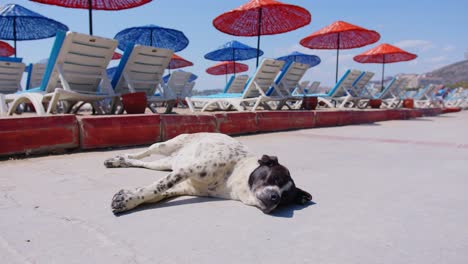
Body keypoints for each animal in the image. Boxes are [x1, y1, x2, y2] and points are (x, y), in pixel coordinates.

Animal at [104, 132, 312, 214]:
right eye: (275, 178)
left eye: (285, 198)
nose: (275, 197)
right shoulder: (186, 171)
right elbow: (157, 187)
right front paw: (128, 199)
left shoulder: (184, 185)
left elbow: (157, 193)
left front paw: (131, 198)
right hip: (165, 146)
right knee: (144, 152)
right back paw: (118, 158)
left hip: (164, 164)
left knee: (142, 162)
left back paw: (121, 161)